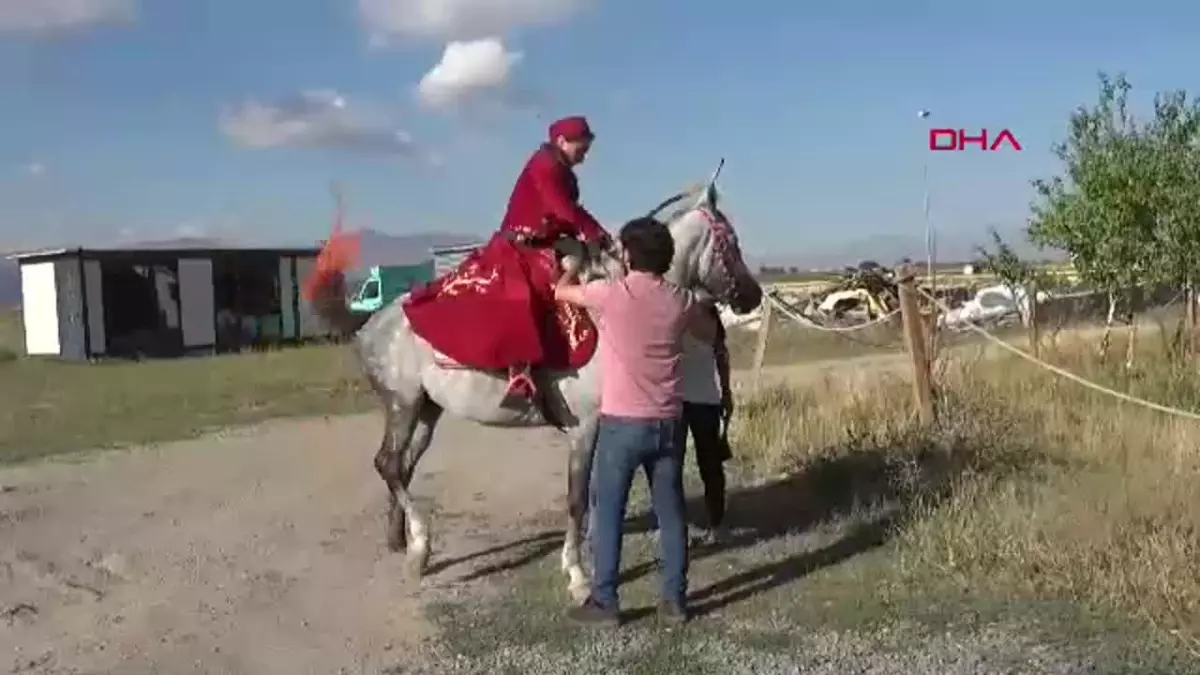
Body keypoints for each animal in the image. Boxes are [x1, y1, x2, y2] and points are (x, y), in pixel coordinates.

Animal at [304, 170, 763, 600]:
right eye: (731, 243)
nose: (753, 295)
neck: (612, 310)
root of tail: (371, 322)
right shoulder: (585, 427)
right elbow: (577, 498)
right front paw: (577, 576)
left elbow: (598, 497)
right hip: (403, 404)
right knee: (388, 463)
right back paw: (419, 544)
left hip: (427, 410)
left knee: (403, 465)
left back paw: (404, 543)